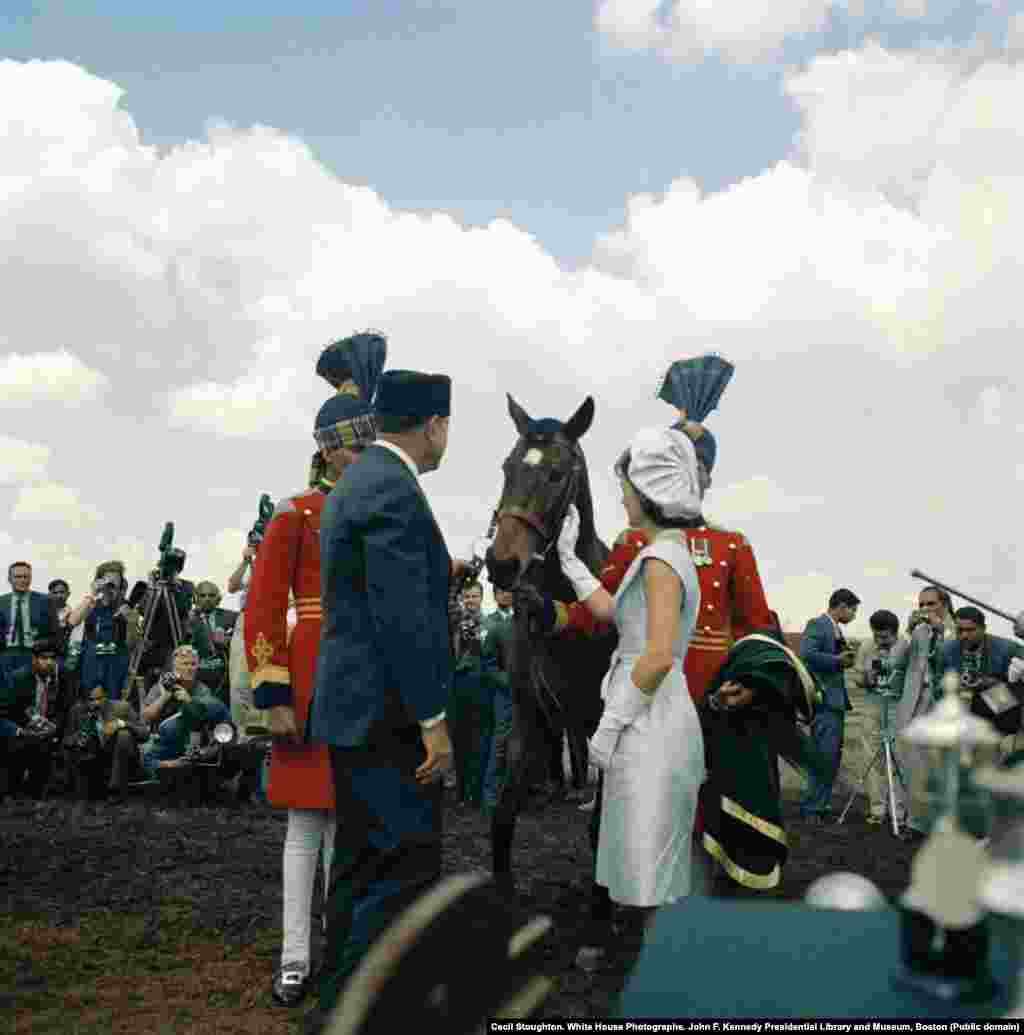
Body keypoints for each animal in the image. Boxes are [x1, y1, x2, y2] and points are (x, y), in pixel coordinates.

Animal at [482, 393, 617, 890]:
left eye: (558, 474)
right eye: (507, 467)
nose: (502, 564)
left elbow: (600, 832)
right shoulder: (530, 716)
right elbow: (503, 816)